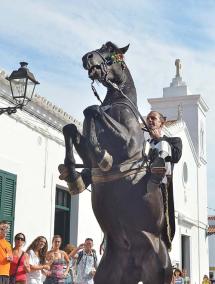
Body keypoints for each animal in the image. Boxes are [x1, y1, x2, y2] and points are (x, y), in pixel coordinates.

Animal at [59, 41, 173, 282]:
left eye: (111, 51)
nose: (87, 57)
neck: (116, 102)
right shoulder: (85, 150)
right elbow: (71, 127)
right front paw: (73, 174)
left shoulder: (129, 143)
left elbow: (92, 110)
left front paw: (104, 157)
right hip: (108, 274)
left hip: (157, 272)